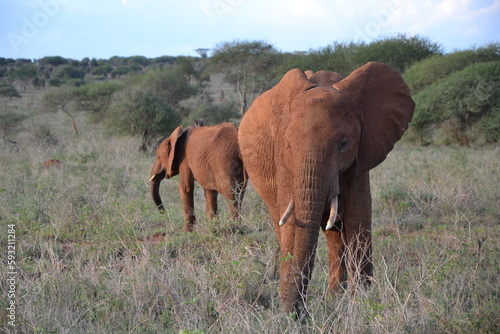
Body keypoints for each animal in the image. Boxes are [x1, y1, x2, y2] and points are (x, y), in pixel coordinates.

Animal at [238, 62, 414, 316]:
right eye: (289, 144)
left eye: (344, 144)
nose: (297, 314)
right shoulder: (283, 159)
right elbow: (292, 223)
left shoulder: (362, 153)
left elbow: (358, 215)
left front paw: (361, 303)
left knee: (335, 232)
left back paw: (335, 297)